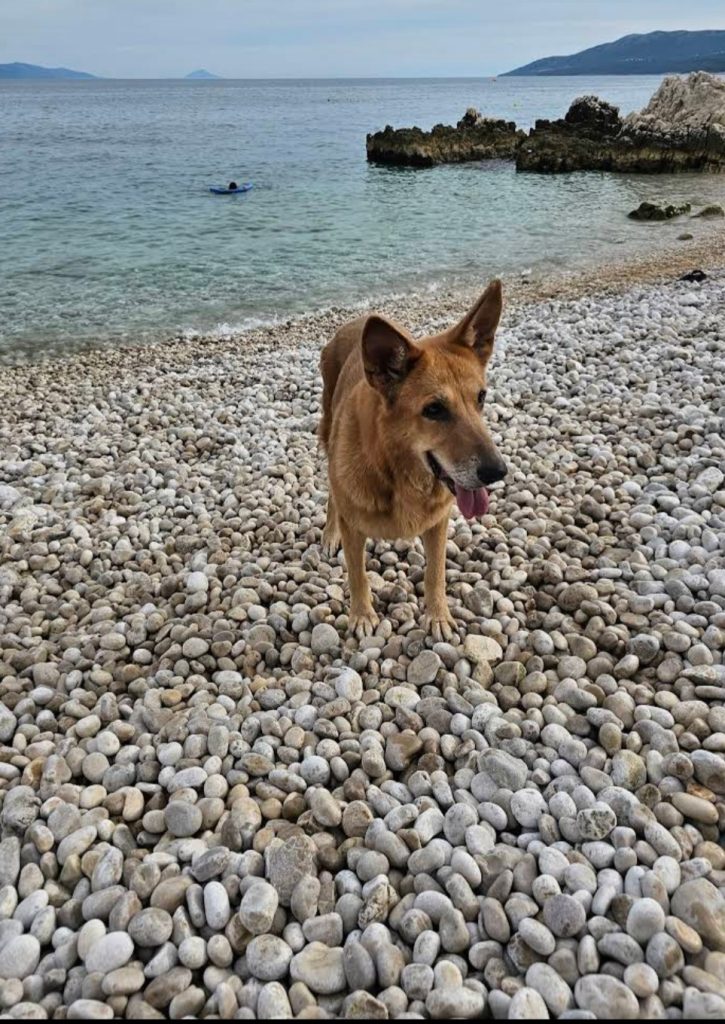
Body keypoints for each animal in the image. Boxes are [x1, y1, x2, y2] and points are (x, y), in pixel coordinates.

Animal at [319, 279, 507, 640]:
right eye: (434, 409)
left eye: (481, 397)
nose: (497, 472)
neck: (394, 470)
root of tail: (357, 321)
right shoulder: (354, 529)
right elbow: (357, 574)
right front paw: (362, 615)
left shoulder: (438, 524)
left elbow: (436, 573)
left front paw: (438, 616)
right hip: (325, 429)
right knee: (333, 493)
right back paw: (330, 532)